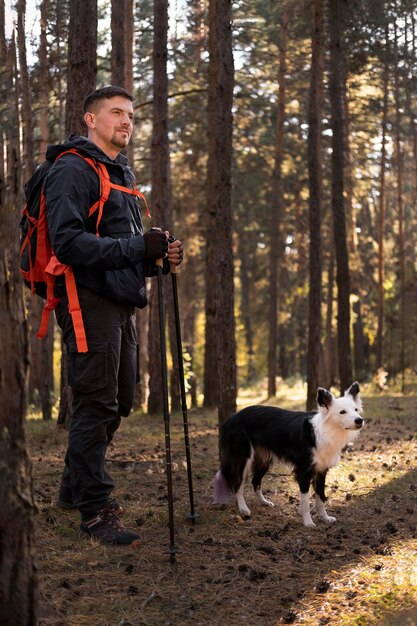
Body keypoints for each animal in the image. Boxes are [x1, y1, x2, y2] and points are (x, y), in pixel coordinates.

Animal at [213, 382, 362, 524]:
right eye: (342, 412)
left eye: (356, 410)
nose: (360, 420)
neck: (325, 432)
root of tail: (232, 417)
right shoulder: (304, 471)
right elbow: (306, 500)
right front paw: (308, 522)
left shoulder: (321, 470)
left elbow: (321, 497)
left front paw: (325, 518)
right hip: (243, 459)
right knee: (238, 484)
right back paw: (244, 509)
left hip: (264, 460)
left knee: (255, 482)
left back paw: (264, 502)